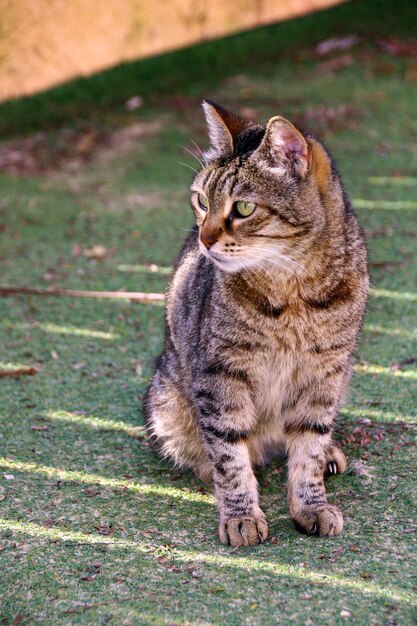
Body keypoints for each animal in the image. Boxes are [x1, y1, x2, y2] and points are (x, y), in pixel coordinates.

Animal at [144, 100, 368, 544]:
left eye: (243, 208)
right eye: (201, 200)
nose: (203, 239)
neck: (294, 290)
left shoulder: (325, 375)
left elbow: (309, 446)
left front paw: (311, 504)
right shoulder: (221, 376)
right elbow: (229, 453)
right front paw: (241, 515)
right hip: (167, 401)